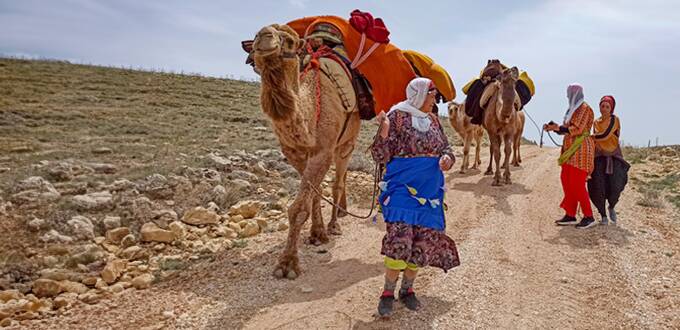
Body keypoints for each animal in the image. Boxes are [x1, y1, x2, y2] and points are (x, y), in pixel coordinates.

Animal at [251, 23, 362, 278]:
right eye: (254, 36)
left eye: (290, 41)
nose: (263, 36)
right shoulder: (294, 153)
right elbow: (314, 192)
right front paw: (317, 234)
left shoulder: (324, 150)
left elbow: (299, 207)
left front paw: (288, 264)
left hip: (347, 143)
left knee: (338, 181)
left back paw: (335, 224)